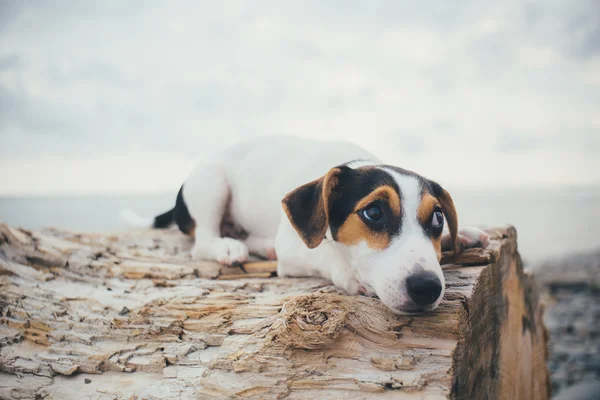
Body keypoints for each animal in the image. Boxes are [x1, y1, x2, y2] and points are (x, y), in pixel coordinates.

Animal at [122, 136, 488, 314]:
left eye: (438, 218)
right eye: (373, 213)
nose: (427, 287)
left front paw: (462, 233)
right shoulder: (294, 246)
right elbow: (324, 253)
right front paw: (352, 275)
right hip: (210, 183)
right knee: (203, 241)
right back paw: (228, 246)